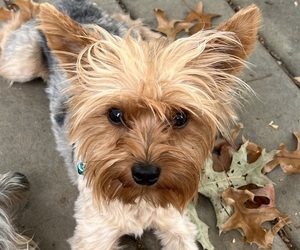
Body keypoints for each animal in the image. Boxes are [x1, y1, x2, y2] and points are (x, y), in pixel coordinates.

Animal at [0, 0, 260, 249]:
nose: (145, 173)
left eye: (180, 118)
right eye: (115, 115)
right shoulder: (94, 233)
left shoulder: (177, 224)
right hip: (19, 64)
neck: (139, 198)